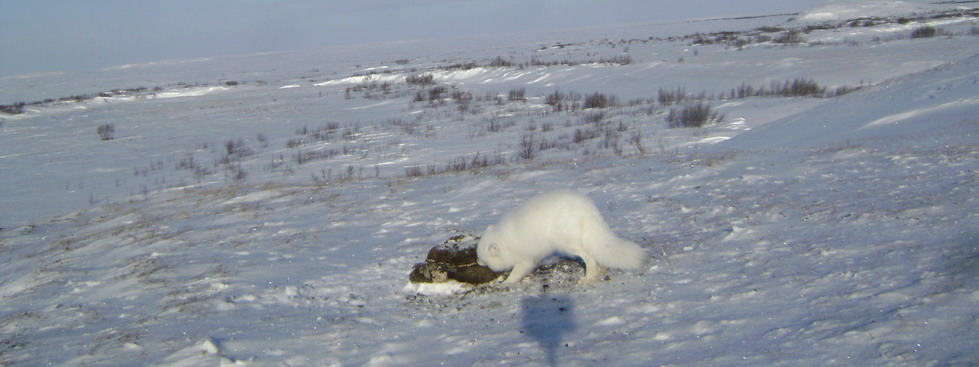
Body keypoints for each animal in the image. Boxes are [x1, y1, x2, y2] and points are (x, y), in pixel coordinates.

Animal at [476, 190, 648, 284]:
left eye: (484, 259)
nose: (477, 262)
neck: (507, 241)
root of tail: (586, 209)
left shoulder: (525, 257)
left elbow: (517, 271)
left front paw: (507, 282)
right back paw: (601, 269)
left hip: (567, 244)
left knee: (589, 257)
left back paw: (589, 277)